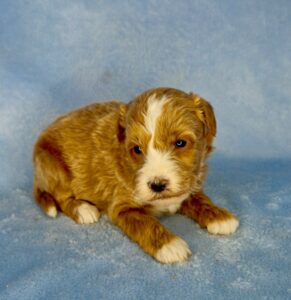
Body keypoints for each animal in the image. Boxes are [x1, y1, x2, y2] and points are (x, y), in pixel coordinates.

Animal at [33, 86, 240, 262]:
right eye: (137, 149)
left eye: (180, 143)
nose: (157, 185)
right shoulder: (122, 207)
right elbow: (145, 222)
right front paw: (170, 245)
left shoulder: (189, 186)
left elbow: (200, 199)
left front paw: (220, 216)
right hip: (52, 165)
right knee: (61, 197)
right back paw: (83, 209)